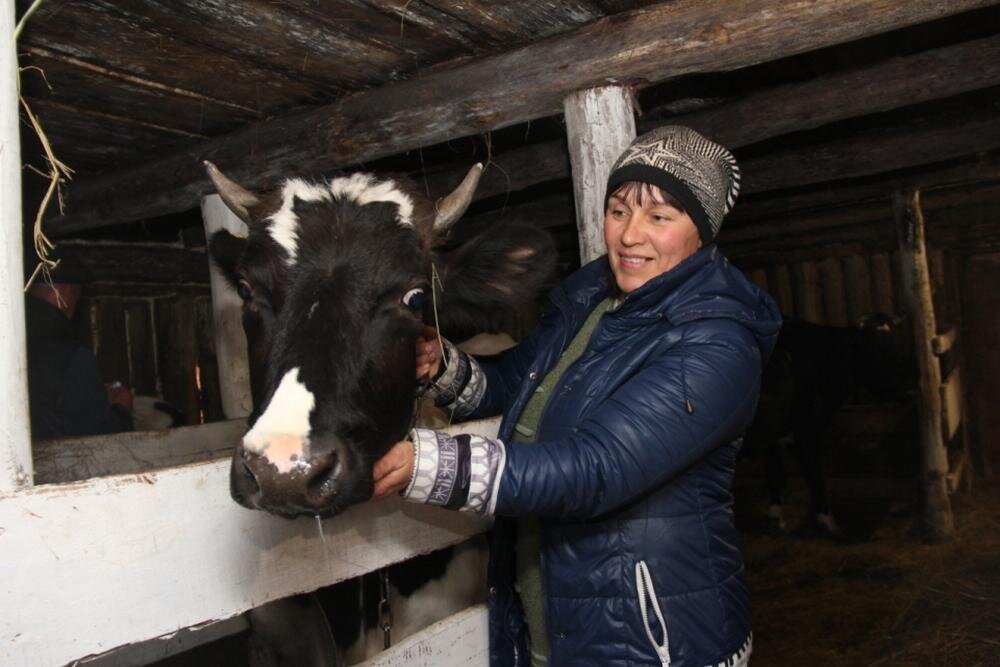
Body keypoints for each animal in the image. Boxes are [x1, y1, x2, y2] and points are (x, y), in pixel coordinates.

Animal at [744, 314, 916, 536]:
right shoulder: (805, 428)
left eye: (898, 343)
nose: (911, 383)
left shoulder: (773, 435)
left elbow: (776, 476)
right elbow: (814, 475)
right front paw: (828, 520)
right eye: (878, 349)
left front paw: (776, 518)